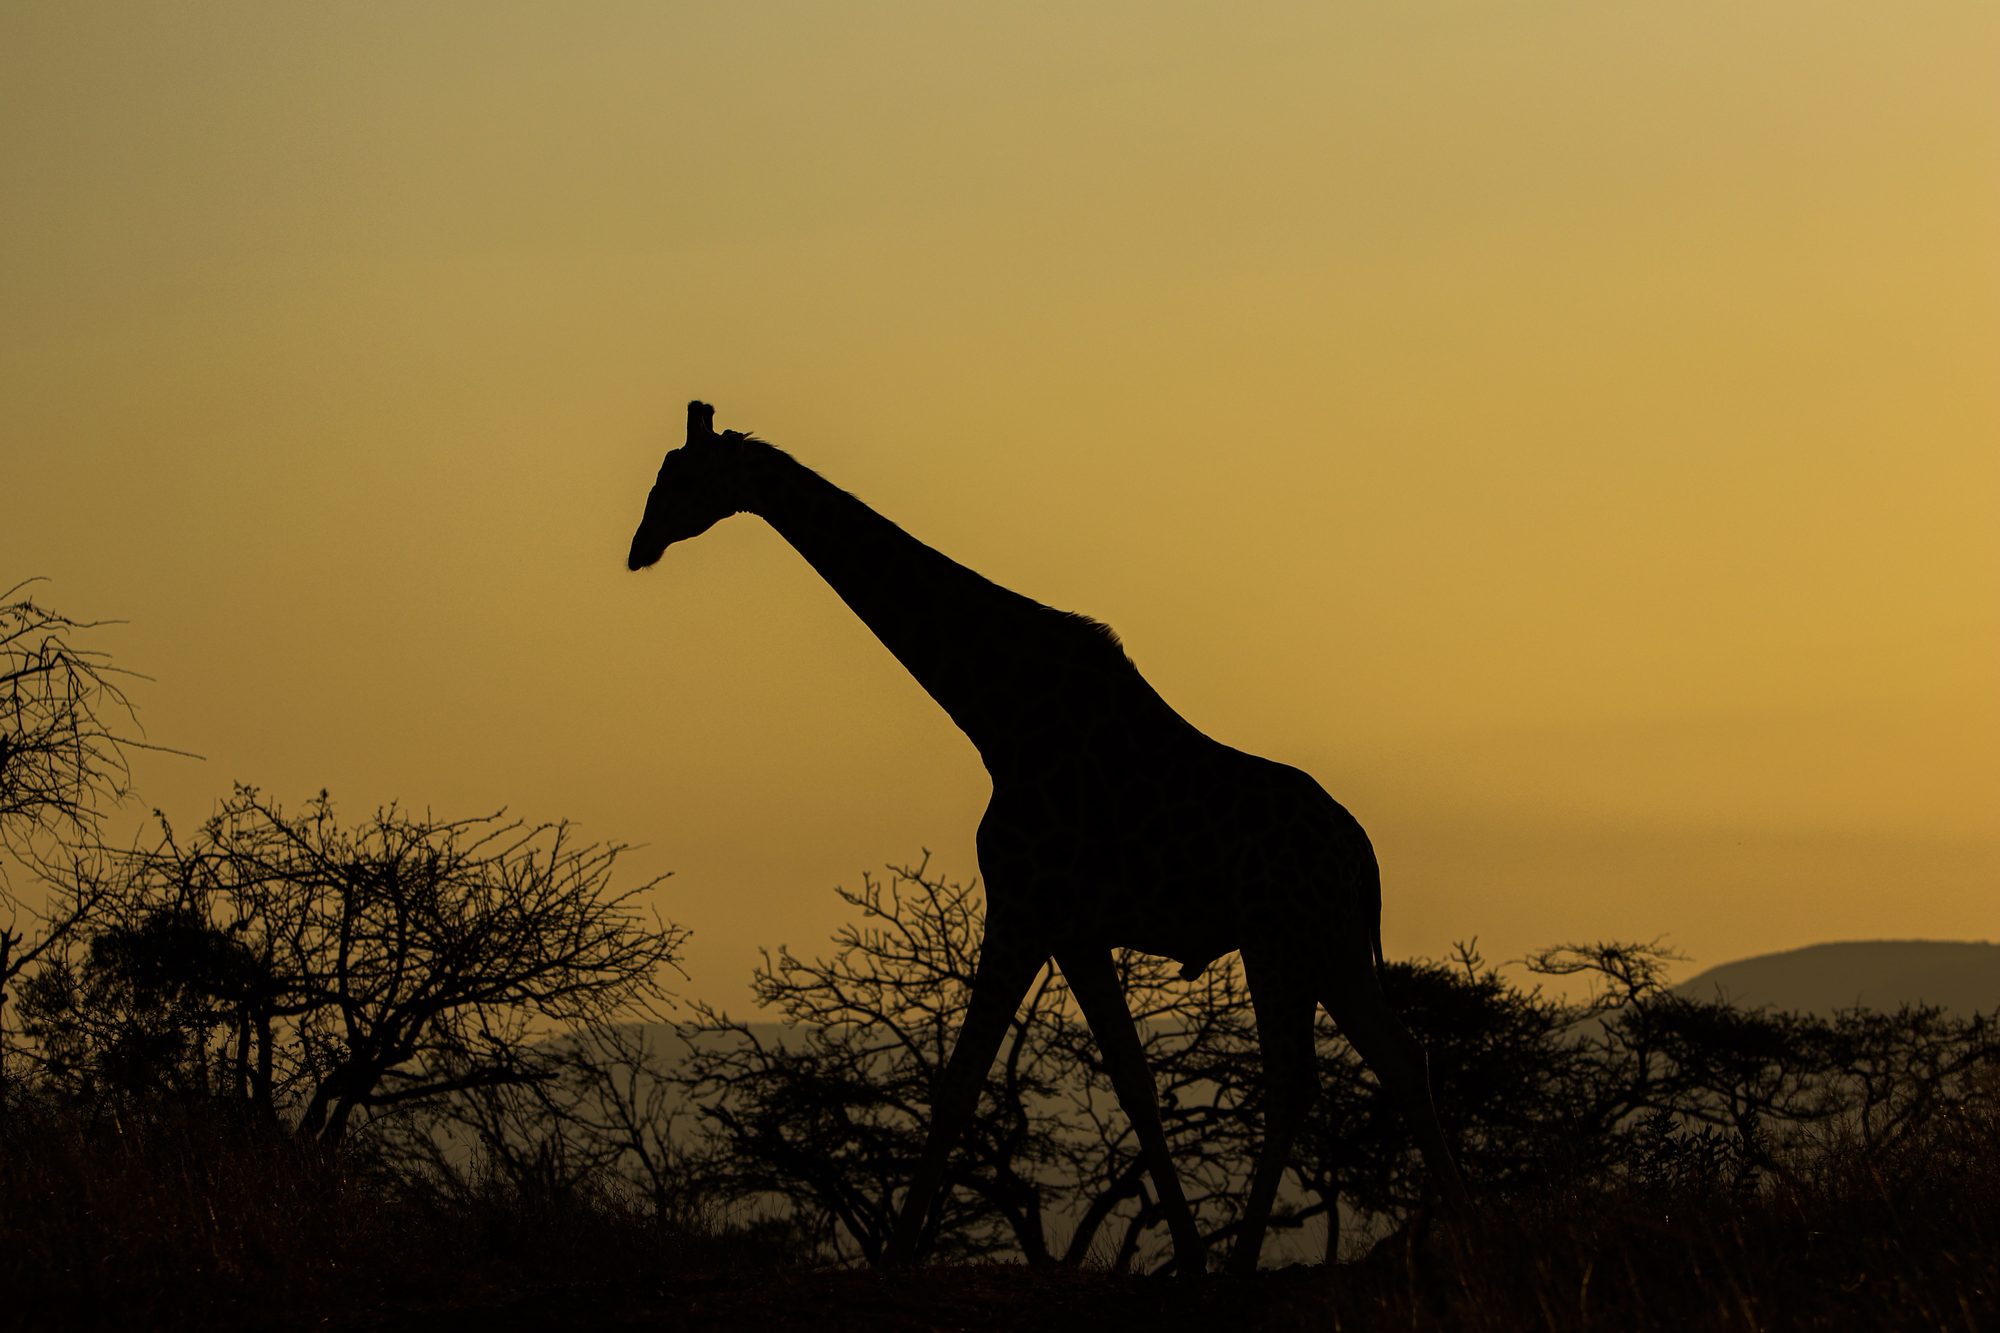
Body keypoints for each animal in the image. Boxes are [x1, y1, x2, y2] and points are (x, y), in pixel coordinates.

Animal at [627, 401, 1469, 1272]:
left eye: (679, 476)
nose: (637, 546)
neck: (997, 714)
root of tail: (1362, 853)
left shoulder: (1025, 905)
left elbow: (961, 1084)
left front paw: (895, 1261)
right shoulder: (1073, 926)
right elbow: (1134, 1084)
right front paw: (1187, 1256)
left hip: (1284, 936)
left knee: (1301, 1076)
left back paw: (1277, 1261)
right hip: (1321, 944)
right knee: (1391, 1059)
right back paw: (1473, 1244)